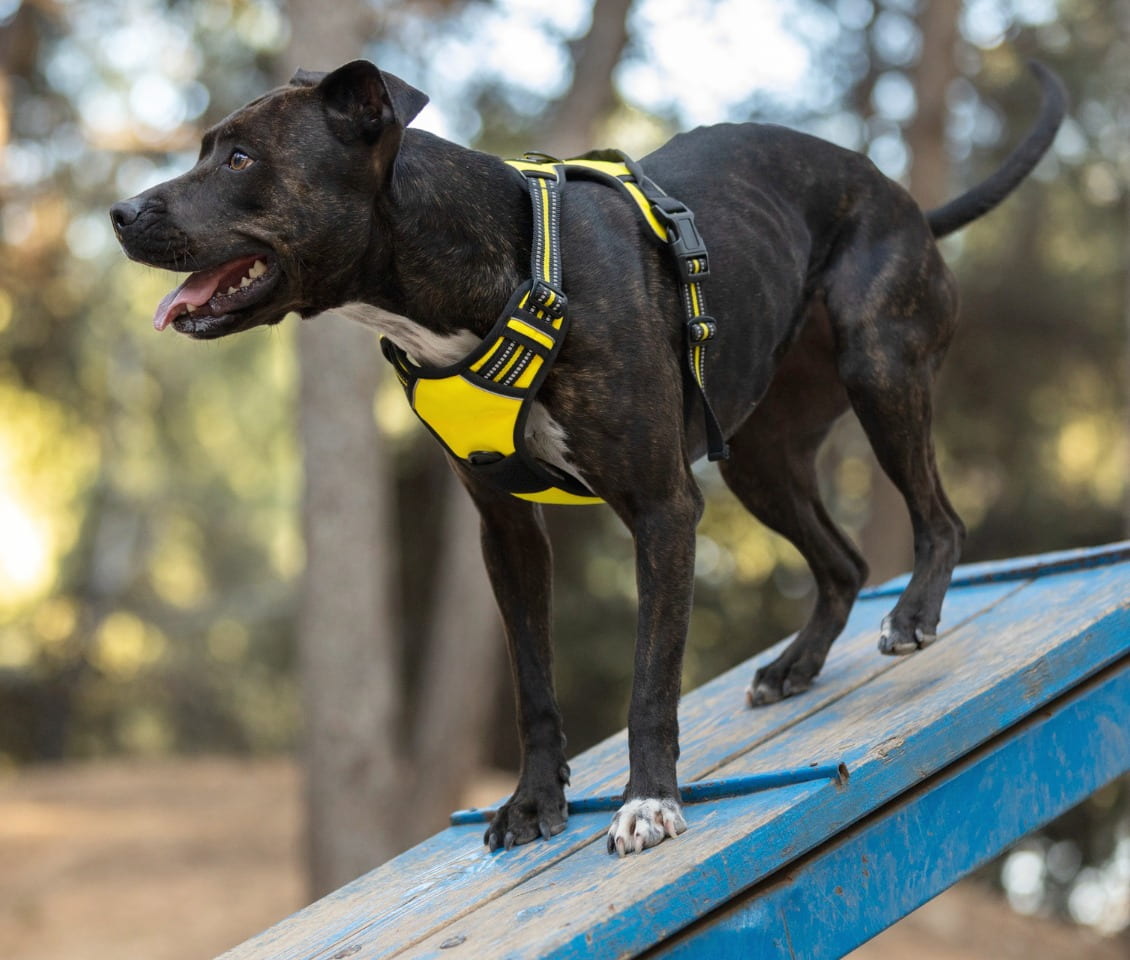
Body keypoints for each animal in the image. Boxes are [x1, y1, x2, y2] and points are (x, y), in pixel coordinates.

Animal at [112, 57, 1066, 853]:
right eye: (205, 149)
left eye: (239, 159)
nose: (120, 214)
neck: (486, 267)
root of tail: (900, 196)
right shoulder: (507, 532)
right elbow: (533, 685)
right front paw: (535, 803)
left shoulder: (663, 509)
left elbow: (651, 682)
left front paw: (649, 802)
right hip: (761, 458)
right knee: (842, 563)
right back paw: (795, 666)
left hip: (879, 366)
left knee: (940, 517)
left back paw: (912, 615)